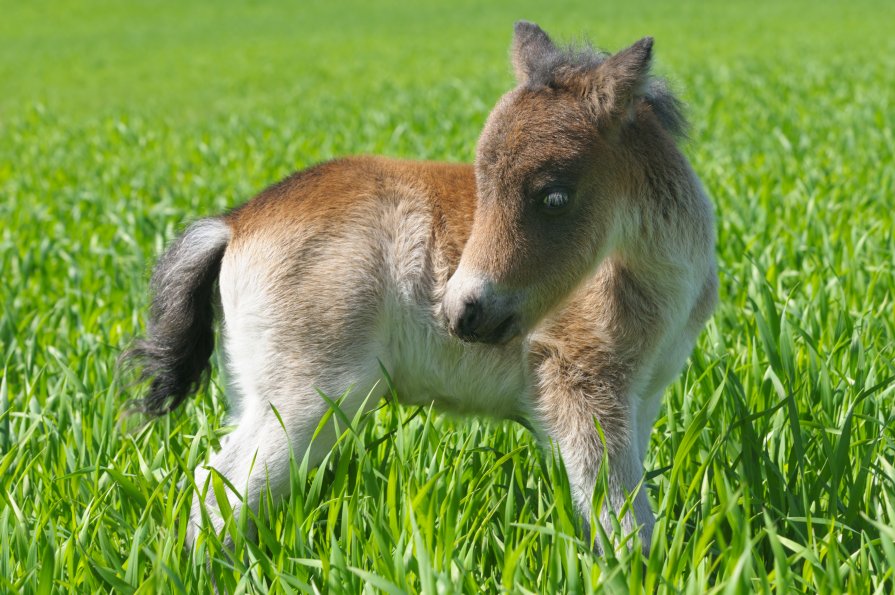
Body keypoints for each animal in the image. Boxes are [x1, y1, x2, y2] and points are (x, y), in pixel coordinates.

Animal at [130, 24, 716, 556]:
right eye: (483, 185)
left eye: (554, 197)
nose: (462, 312)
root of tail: (236, 222)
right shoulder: (581, 385)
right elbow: (619, 515)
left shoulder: (641, 397)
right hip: (309, 399)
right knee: (221, 489)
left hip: (261, 394)